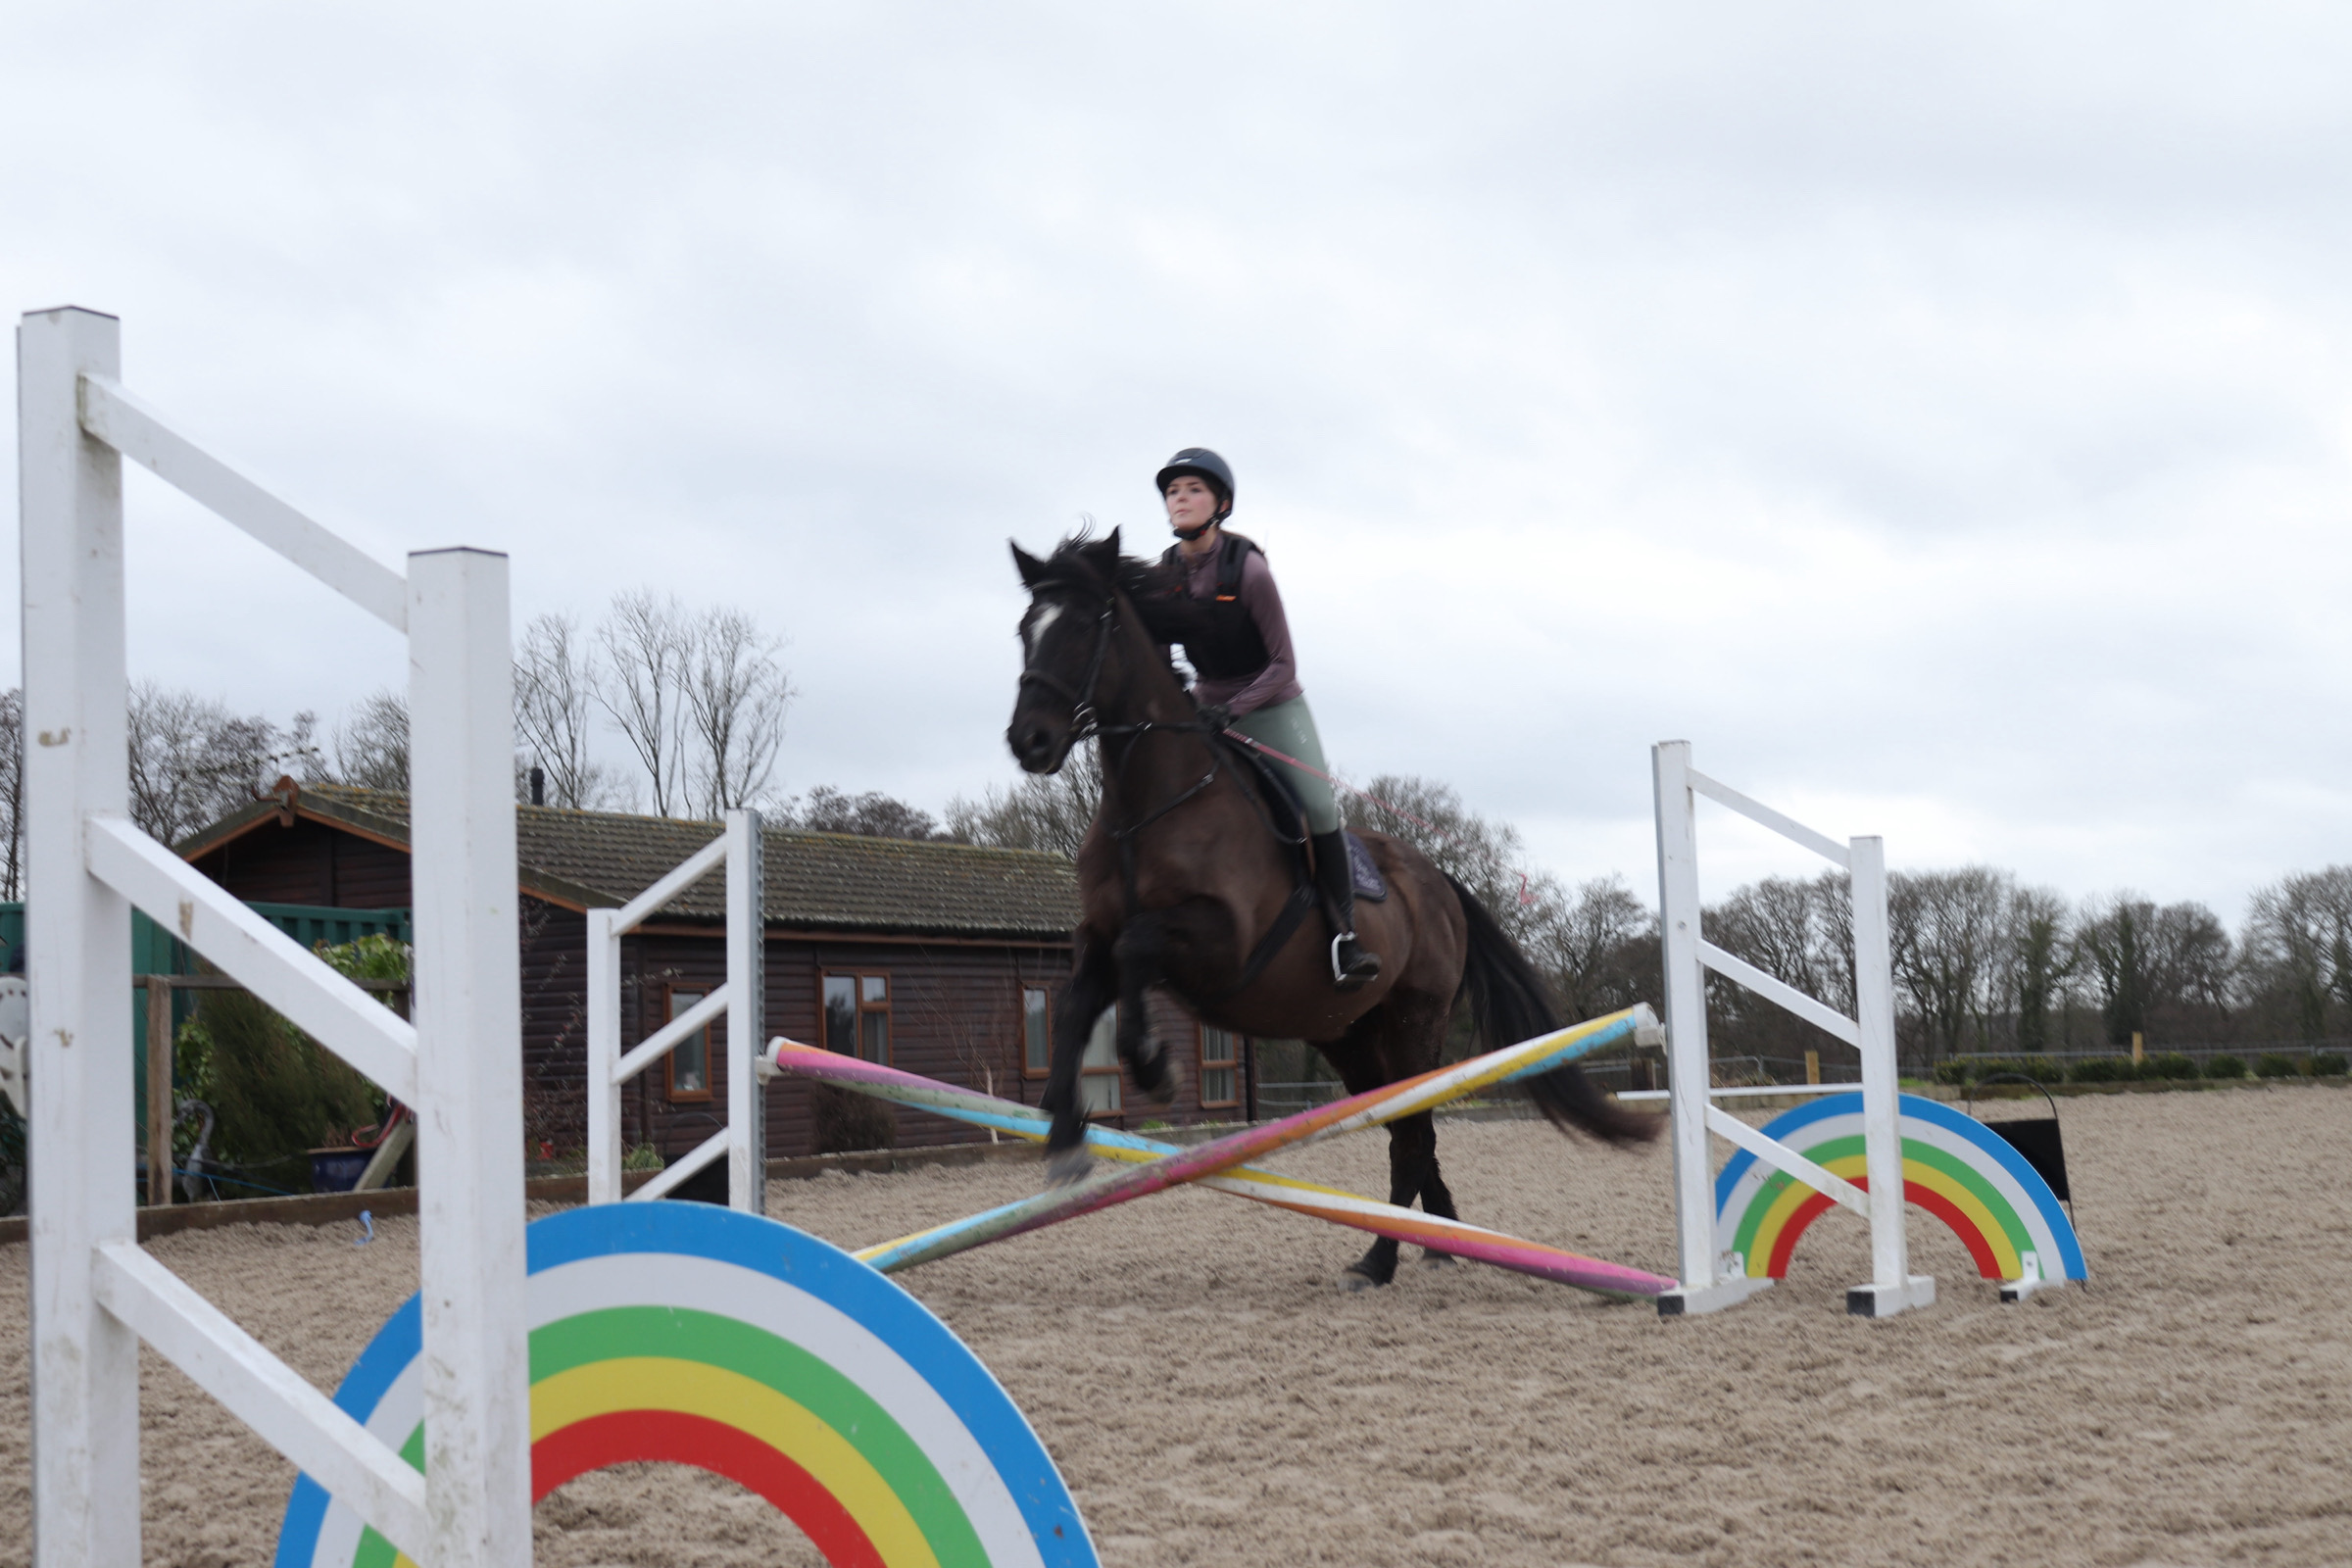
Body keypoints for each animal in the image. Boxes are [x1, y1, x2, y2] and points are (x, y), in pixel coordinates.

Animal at [1006, 526, 1655, 1288]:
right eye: (1027, 629)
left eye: (1084, 627)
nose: (1029, 741)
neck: (1150, 804)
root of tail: (1440, 882)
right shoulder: (1099, 935)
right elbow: (1080, 1001)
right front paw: (1064, 1138)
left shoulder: (1219, 941)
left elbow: (1140, 951)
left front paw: (1152, 1068)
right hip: (1347, 1034)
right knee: (1408, 1127)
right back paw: (1437, 1236)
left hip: (1413, 1018)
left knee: (1413, 1131)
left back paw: (1380, 1256)